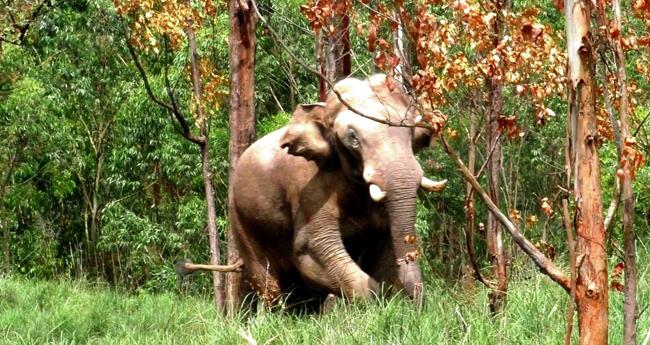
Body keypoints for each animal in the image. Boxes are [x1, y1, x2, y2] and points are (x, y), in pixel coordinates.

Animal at [229, 74, 446, 306]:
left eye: (410, 131)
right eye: (353, 138)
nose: (419, 305)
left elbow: (384, 245)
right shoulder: (309, 189)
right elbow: (311, 248)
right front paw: (374, 303)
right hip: (241, 221)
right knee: (268, 284)